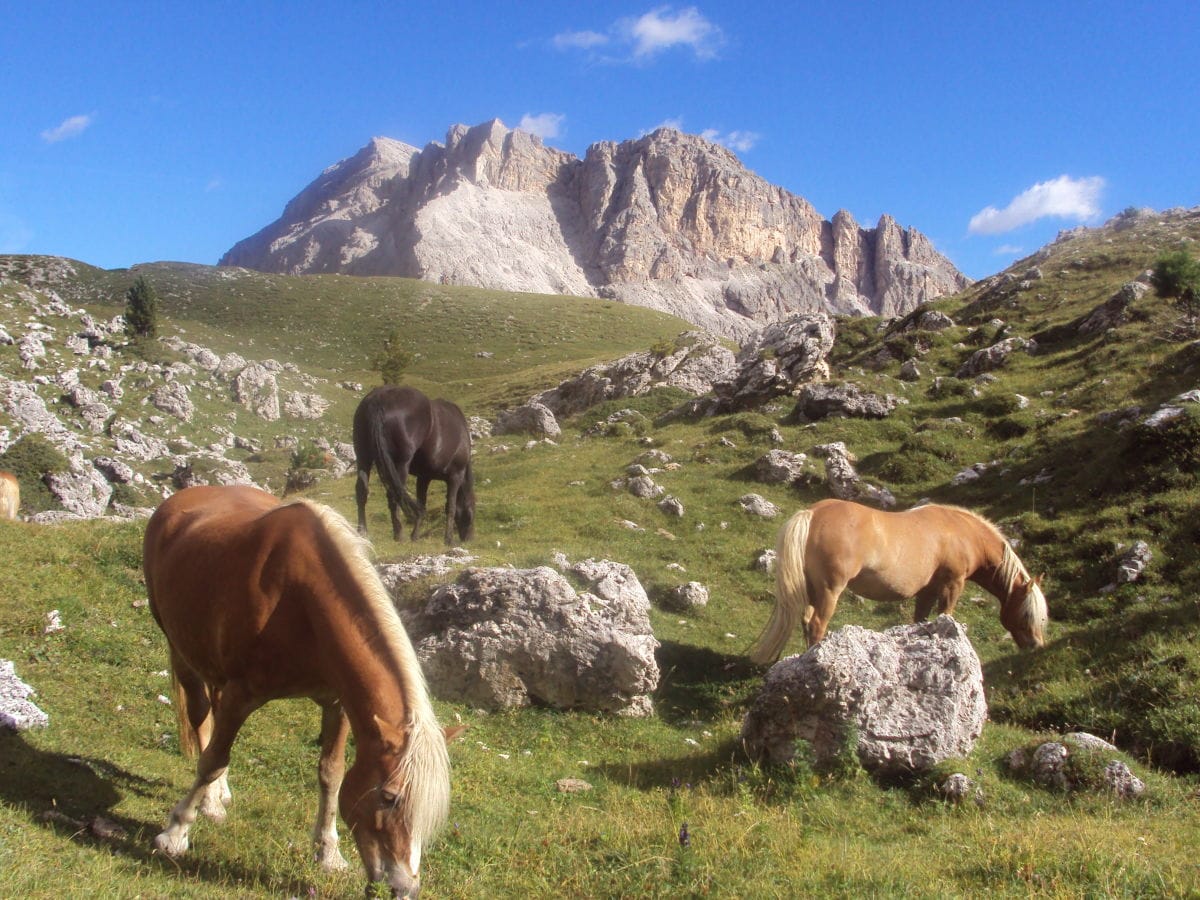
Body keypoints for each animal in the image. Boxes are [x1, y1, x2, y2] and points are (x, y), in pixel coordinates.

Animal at [141, 489, 458, 897]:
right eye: (389, 797)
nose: (404, 888)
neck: (299, 599)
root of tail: (179, 499)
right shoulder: (242, 694)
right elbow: (212, 761)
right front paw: (175, 833)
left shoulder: (338, 703)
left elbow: (332, 774)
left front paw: (329, 854)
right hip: (183, 653)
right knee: (201, 721)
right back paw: (205, 804)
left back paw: (217, 799)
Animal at [350, 386, 472, 547]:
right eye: (470, 514)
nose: (468, 538)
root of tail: (379, 398)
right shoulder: (455, 476)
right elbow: (450, 507)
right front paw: (448, 539)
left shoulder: (424, 477)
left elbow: (422, 504)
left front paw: (415, 536)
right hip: (400, 464)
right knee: (395, 494)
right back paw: (399, 534)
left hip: (363, 458)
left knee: (362, 491)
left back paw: (362, 531)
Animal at [748, 496, 1051, 667]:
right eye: (1027, 613)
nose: (1037, 646)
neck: (962, 532)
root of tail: (813, 513)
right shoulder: (952, 584)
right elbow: (946, 614)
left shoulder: (927, 591)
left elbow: (921, 620)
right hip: (829, 591)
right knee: (816, 625)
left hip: (812, 589)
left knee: (805, 620)